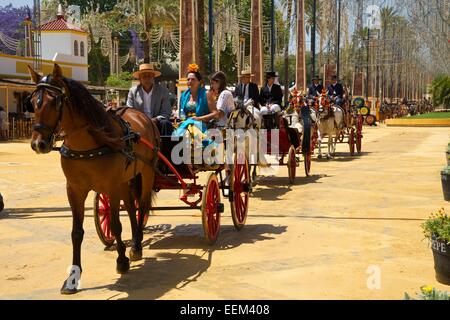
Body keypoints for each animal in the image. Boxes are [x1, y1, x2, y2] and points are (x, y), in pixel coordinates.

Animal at [26, 63, 160, 294]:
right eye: (33, 102)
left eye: (55, 102)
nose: (38, 144)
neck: (88, 144)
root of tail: (143, 116)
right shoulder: (74, 190)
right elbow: (76, 232)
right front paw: (72, 278)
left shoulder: (112, 187)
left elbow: (115, 225)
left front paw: (122, 261)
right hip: (127, 179)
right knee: (131, 208)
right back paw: (135, 242)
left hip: (146, 172)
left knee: (141, 207)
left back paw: (136, 246)